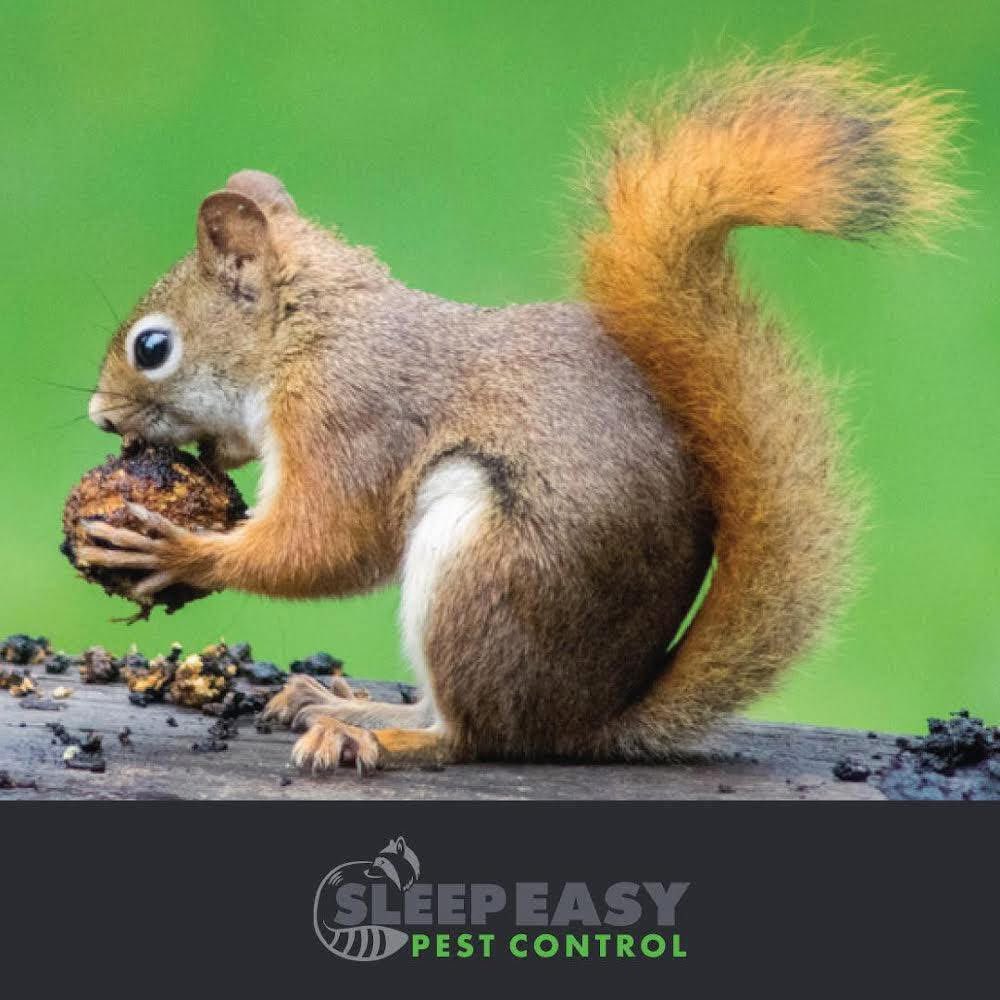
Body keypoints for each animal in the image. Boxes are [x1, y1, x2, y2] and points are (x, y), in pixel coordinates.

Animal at [81, 55, 959, 773]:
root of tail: (585, 722)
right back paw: (338, 702)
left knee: (472, 737)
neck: (311, 333)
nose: (98, 416)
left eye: (152, 347)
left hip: (480, 567)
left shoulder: (350, 417)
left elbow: (327, 544)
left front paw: (179, 549)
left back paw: (375, 735)